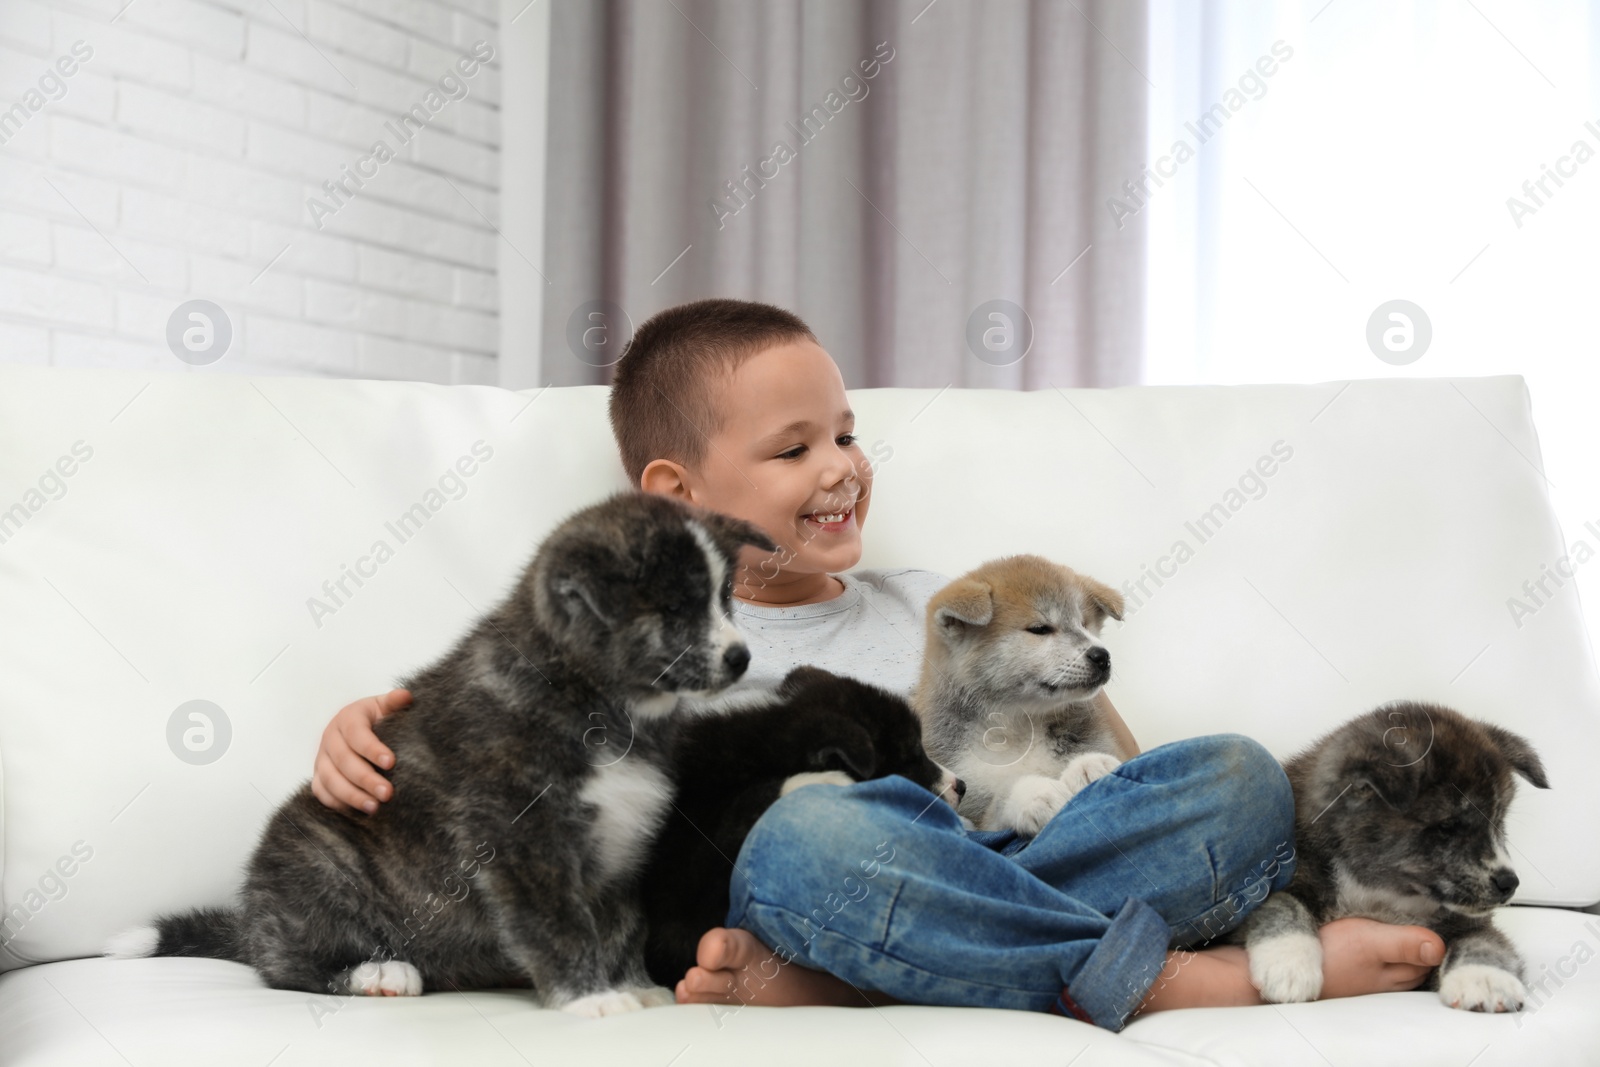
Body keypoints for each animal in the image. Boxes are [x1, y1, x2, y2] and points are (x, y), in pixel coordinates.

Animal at [103, 492, 777, 1017]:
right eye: (674, 609)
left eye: (724, 598)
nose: (742, 659)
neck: (592, 694)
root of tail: (248, 920)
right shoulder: (520, 837)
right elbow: (558, 921)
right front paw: (590, 998)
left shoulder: (620, 842)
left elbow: (621, 922)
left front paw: (634, 987)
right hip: (317, 863)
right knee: (287, 965)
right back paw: (377, 971)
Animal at [915, 556, 1126, 838]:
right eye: (1040, 629)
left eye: (1085, 624)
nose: (1102, 656)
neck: (1019, 726)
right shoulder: (974, 809)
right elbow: (1000, 801)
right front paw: (1036, 793)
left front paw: (1090, 766)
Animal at [1235, 703, 1548, 1017]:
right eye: (1448, 826)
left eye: (1498, 821)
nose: (1509, 883)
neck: (1380, 894)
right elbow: (1282, 901)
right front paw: (1288, 962)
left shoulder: (1468, 923)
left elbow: (1483, 942)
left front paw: (1485, 978)